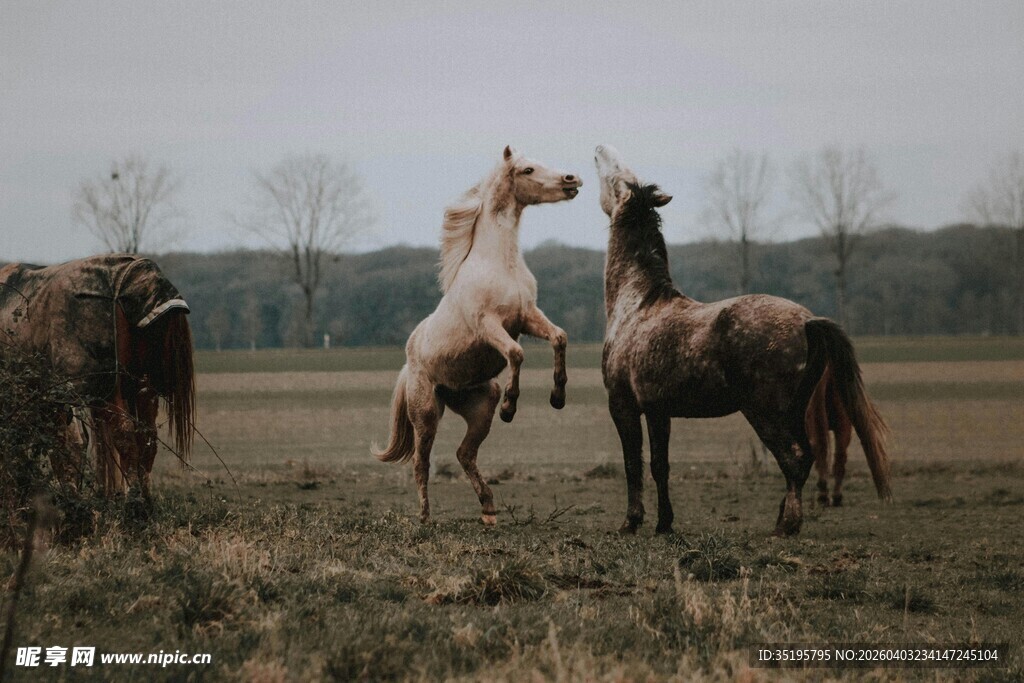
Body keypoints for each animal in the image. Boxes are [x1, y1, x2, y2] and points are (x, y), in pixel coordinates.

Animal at [0, 254, 195, 503]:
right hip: (142, 387)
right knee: (145, 437)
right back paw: (143, 500)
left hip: (104, 393)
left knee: (118, 435)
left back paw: (131, 501)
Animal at [374, 146, 582, 525]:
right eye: (528, 169)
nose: (571, 179)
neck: (500, 263)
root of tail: (410, 361)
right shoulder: (489, 325)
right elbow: (516, 354)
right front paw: (511, 408)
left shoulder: (527, 317)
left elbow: (559, 337)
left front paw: (558, 397)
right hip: (426, 413)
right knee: (421, 462)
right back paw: (425, 517)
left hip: (479, 406)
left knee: (464, 454)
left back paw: (488, 508)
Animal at [594, 145, 891, 536]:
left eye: (616, 176)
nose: (599, 150)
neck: (638, 303)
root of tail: (807, 321)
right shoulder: (659, 410)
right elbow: (660, 466)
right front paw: (664, 524)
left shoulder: (623, 406)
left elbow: (633, 465)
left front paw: (631, 522)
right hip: (793, 411)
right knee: (805, 456)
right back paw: (782, 518)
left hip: (765, 412)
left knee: (794, 458)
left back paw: (787, 526)